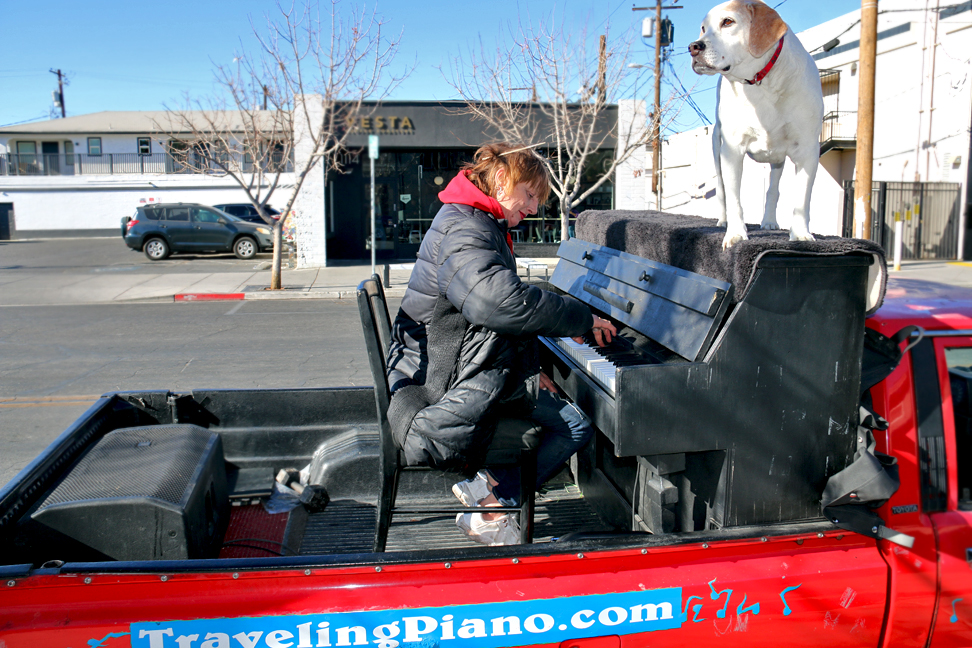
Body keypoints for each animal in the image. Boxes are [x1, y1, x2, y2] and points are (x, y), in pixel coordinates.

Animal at [689, 0, 823, 249]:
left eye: (728, 22)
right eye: (703, 28)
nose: (693, 47)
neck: (762, 81)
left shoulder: (808, 151)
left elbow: (801, 198)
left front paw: (800, 234)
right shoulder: (732, 150)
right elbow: (733, 198)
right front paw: (735, 233)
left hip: (778, 159)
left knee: (773, 189)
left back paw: (769, 220)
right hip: (717, 146)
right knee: (722, 190)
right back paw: (723, 220)